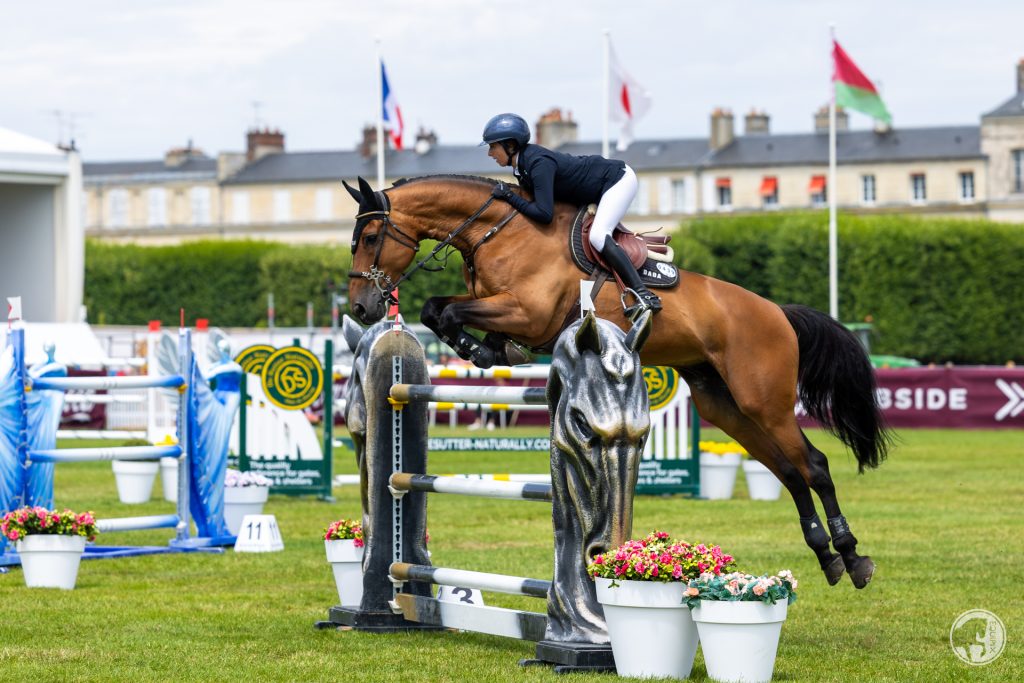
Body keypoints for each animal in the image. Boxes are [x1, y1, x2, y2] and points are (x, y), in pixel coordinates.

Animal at [344, 174, 888, 585]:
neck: (496, 230)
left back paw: (853, 556)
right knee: (789, 473)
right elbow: (438, 310)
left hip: (764, 401)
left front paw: (480, 348)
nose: (363, 308)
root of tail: (777, 311)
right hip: (726, 406)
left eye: (369, 239)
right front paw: (483, 349)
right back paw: (828, 558)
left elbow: (446, 310)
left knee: (813, 466)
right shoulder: (502, 308)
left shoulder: (528, 313)